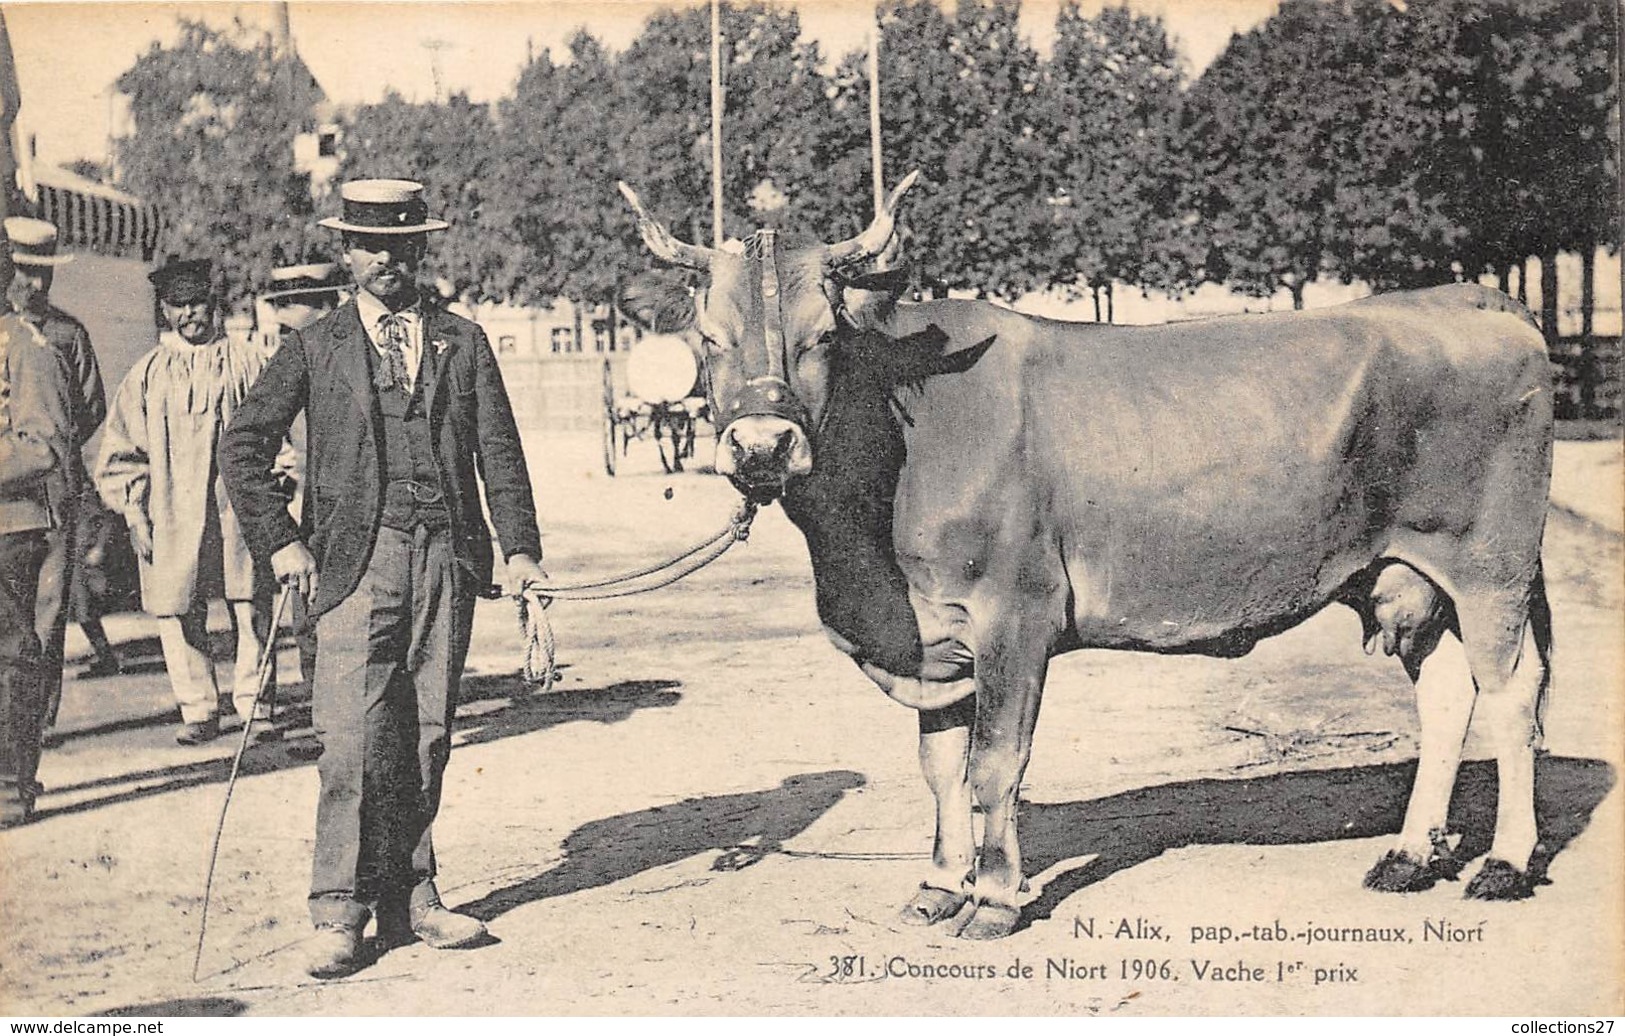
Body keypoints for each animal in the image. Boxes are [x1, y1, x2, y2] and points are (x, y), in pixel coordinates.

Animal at [614, 176, 1553, 941]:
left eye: (823, 337)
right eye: (708, 335)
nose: (761, 445)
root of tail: (1470, 298)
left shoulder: (1013, 614)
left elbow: (994, 763)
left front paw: (994, 898)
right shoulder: (928, 636)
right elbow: (938, 767)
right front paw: (937, 885)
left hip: (1489, 566)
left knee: (1510, 693)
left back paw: (1503, 863)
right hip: (1401, 572)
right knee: (1445, 694)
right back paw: (1409, 856)